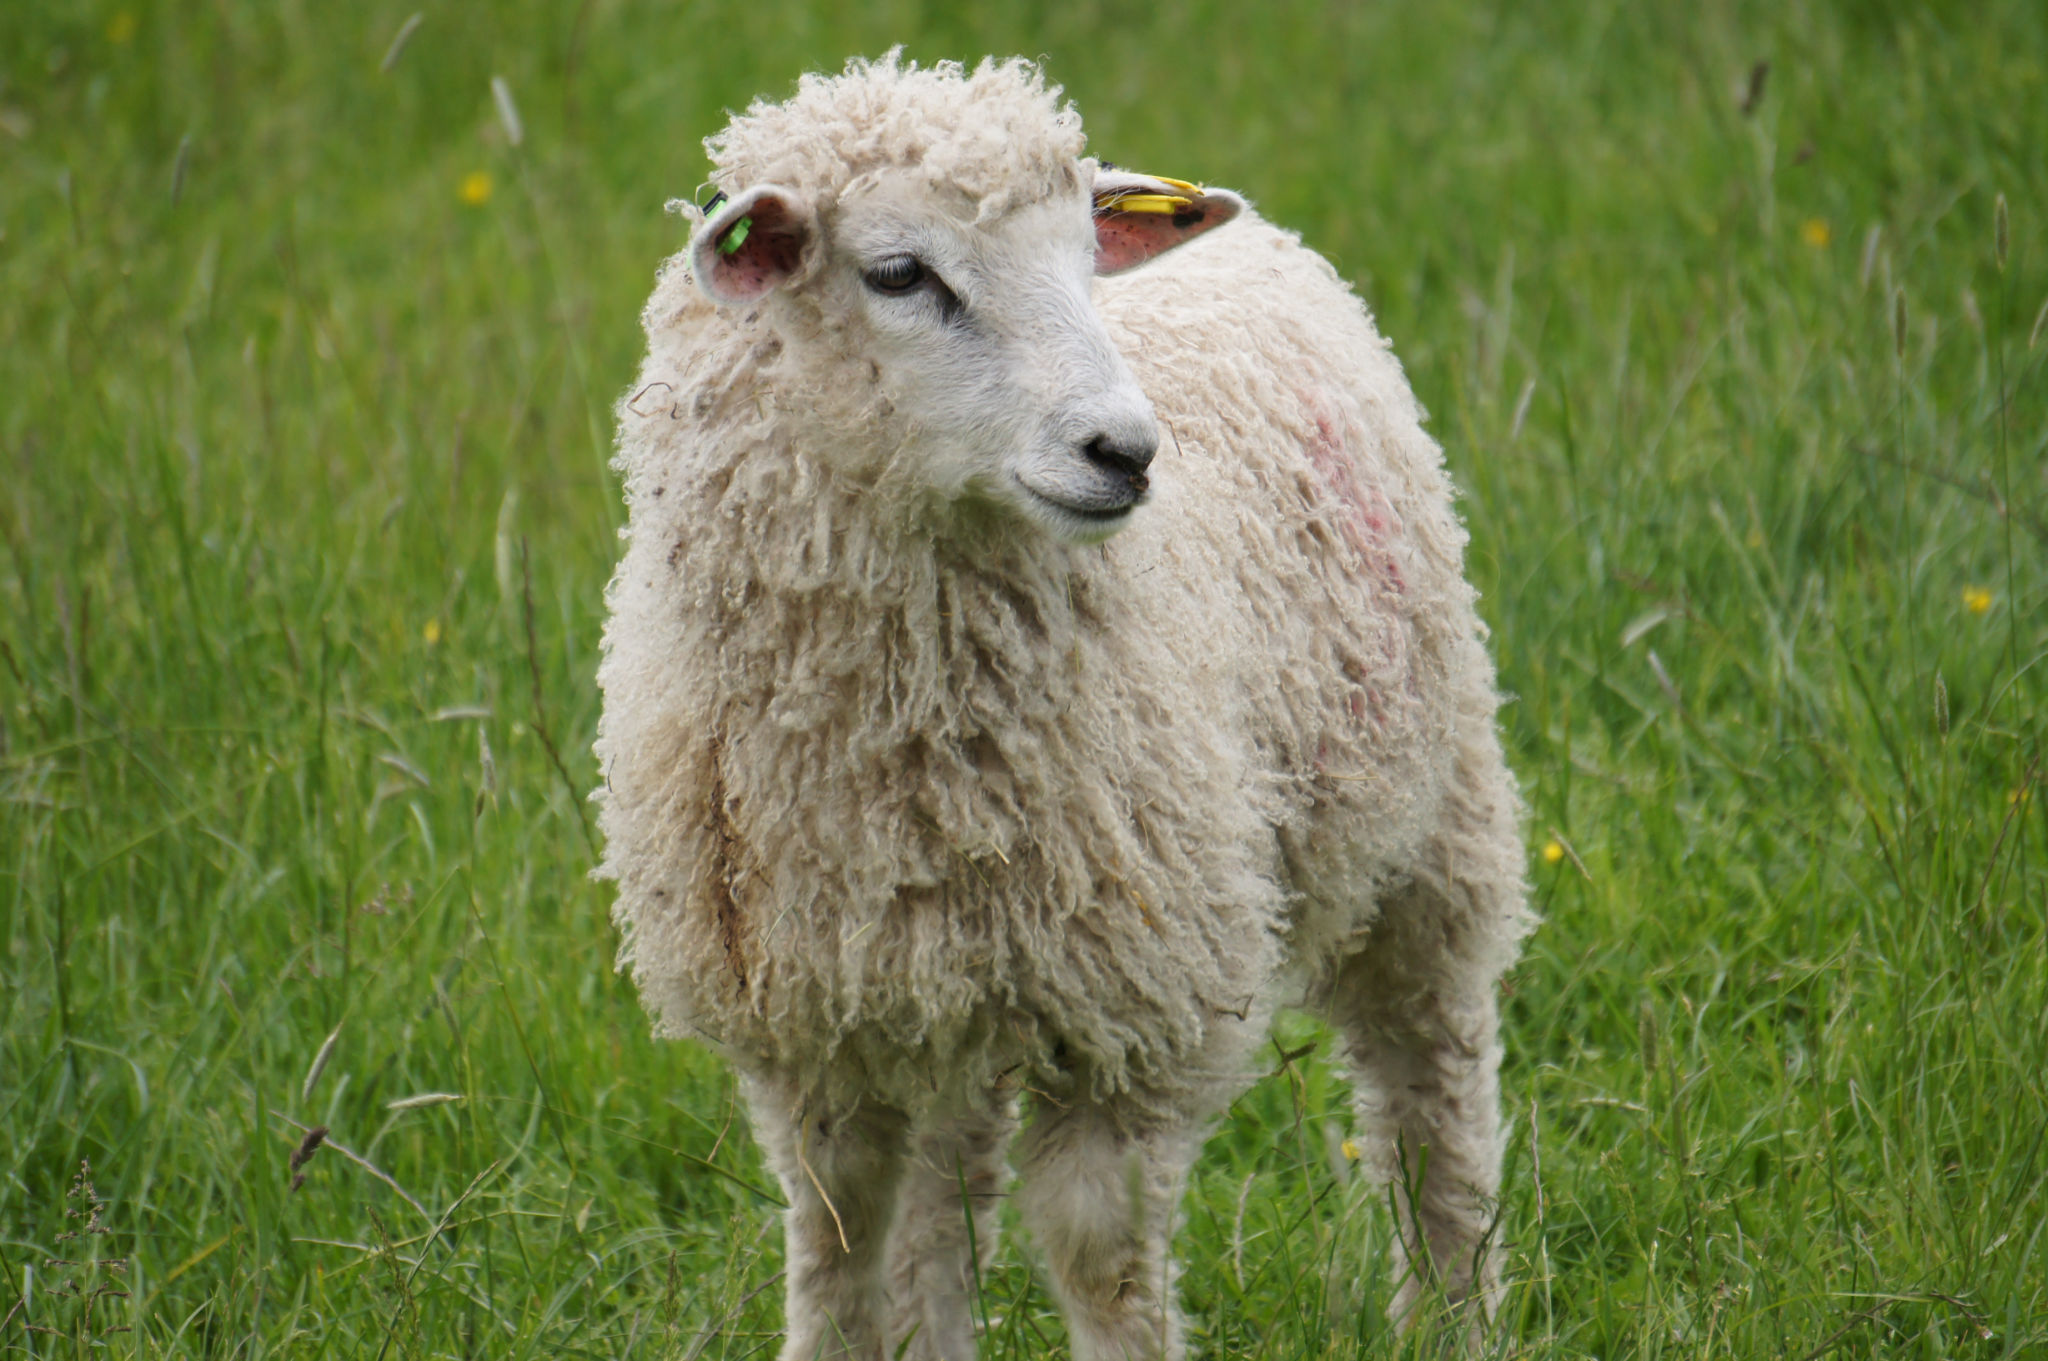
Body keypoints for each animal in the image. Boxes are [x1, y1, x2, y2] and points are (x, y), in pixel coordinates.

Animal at [589, 53, 1523, 1358]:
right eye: (898, 273)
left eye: (1084, 258)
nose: (1124, 452)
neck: (904, 738)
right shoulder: (811, 1017)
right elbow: (837, 1233)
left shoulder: (1136, 999)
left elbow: (1098, 1254)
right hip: (952, 973)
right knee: (947, 1184)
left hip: (1432, 825)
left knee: (1431, 1080)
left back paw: (1450, 1310)